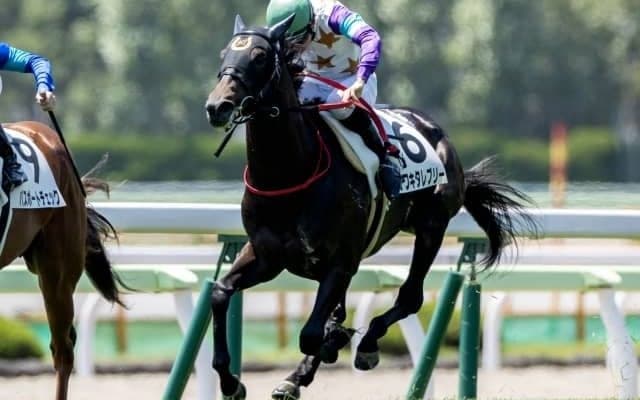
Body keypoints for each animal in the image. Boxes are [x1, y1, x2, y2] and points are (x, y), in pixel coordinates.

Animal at [205, 15, 537, 400]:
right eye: (224, 53)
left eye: (259, 57)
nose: (217, 106)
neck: (290, 173)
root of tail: (441, 138)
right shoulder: (266, 255)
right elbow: (220, 293)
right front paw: (231, 382)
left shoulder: (339, 261)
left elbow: (312, 334)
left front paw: (333, 346)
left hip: (431, 227)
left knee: (410, 297)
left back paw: (365, 345)